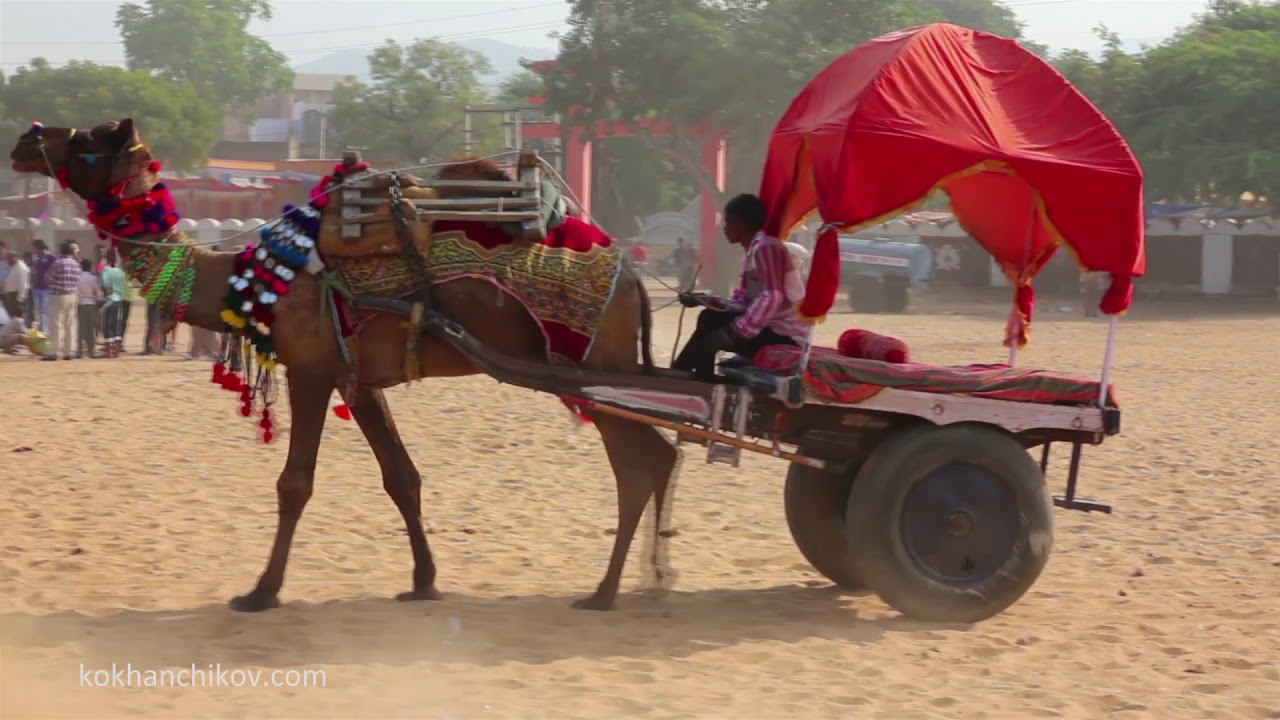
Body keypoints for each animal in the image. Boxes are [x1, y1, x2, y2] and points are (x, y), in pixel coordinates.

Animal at [10, 118, 681, 612]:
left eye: (90, 144)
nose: (25, 140)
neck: (248, 278)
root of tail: (632, 278)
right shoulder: (357, 379)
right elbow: (402, 478)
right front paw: (423, 581)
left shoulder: (309, 370)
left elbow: (294, 483)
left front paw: (260, 592)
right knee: (659, 455)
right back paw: (648, 576)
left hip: (592, 368)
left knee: (640, 464)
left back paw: (607, 591)